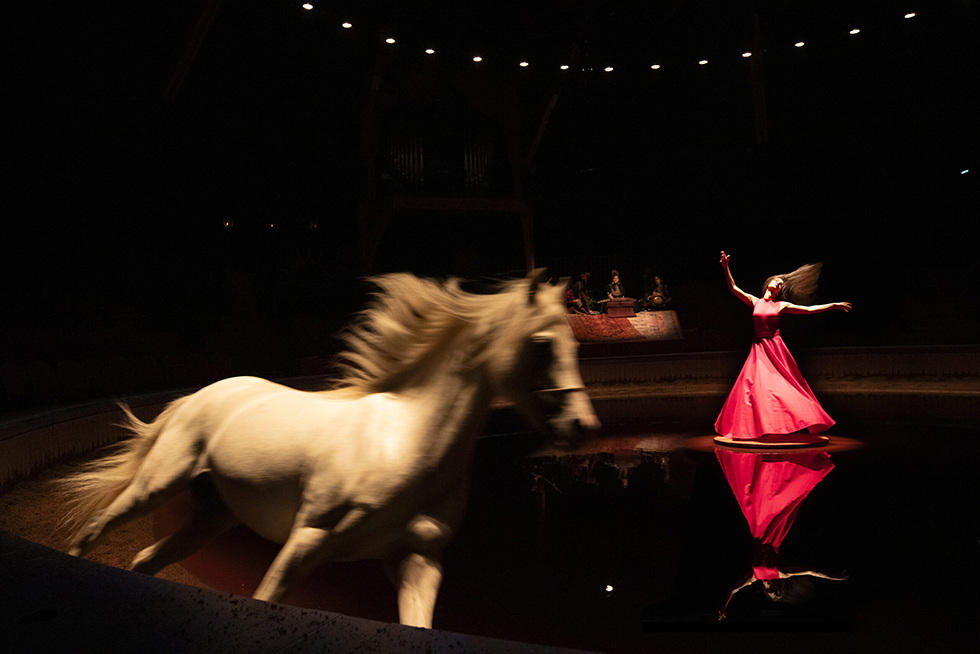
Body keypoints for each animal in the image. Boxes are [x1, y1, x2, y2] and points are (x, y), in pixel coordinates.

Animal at [63, 270, 596, 632]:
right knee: (94, 530)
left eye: (574, 341)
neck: (406, 444)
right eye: (543, 343)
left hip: (210, 516)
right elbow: (265, 597)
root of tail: (196, 397)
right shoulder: (307, 539)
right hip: (156, 486)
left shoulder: (418, 560)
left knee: (145, 562)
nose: (582, 425)